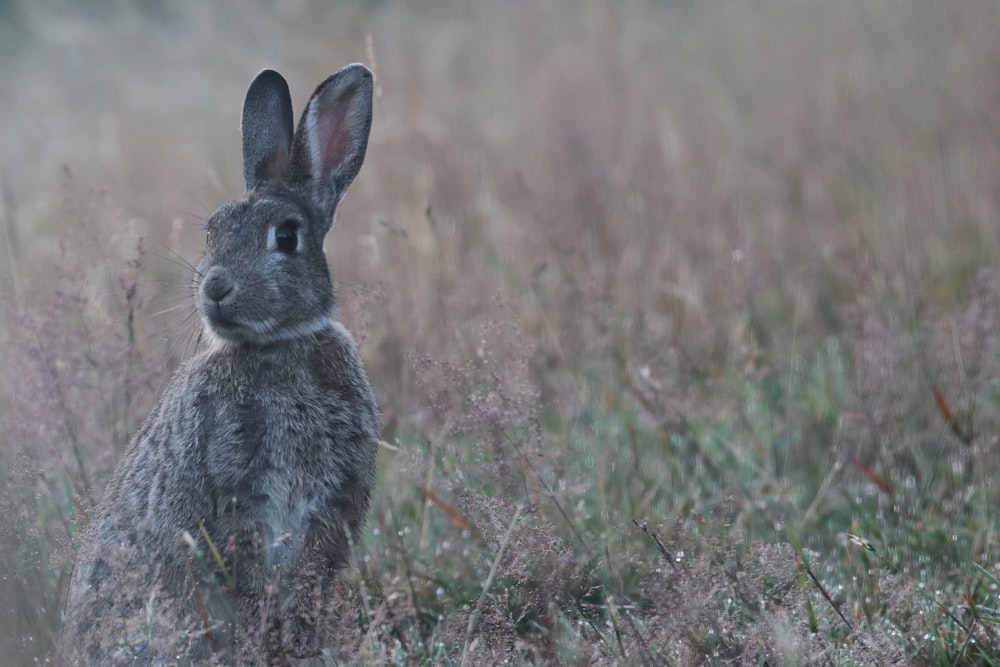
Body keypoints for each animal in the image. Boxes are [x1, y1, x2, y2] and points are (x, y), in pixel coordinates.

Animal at [62, 64, 380, 667]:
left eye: (286, 236)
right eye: (211, 229)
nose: (214, 289)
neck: (277, 345)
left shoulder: (327, 509)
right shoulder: (234, 498)